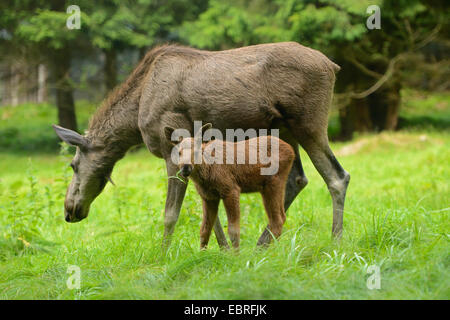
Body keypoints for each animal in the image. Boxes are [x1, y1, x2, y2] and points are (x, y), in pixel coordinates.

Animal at [165, 124, 296, 249]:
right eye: (179, 152)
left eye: (197, 152)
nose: (185, 167)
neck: (207, 173)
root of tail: (292, 151)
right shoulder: (208, 197)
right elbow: (204, 230)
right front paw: (201, 253)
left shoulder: (231, 189)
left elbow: (233, 231)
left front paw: (236, 255)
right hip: (267, 187)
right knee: (281, 217)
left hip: (274, 182)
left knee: (277, 220)